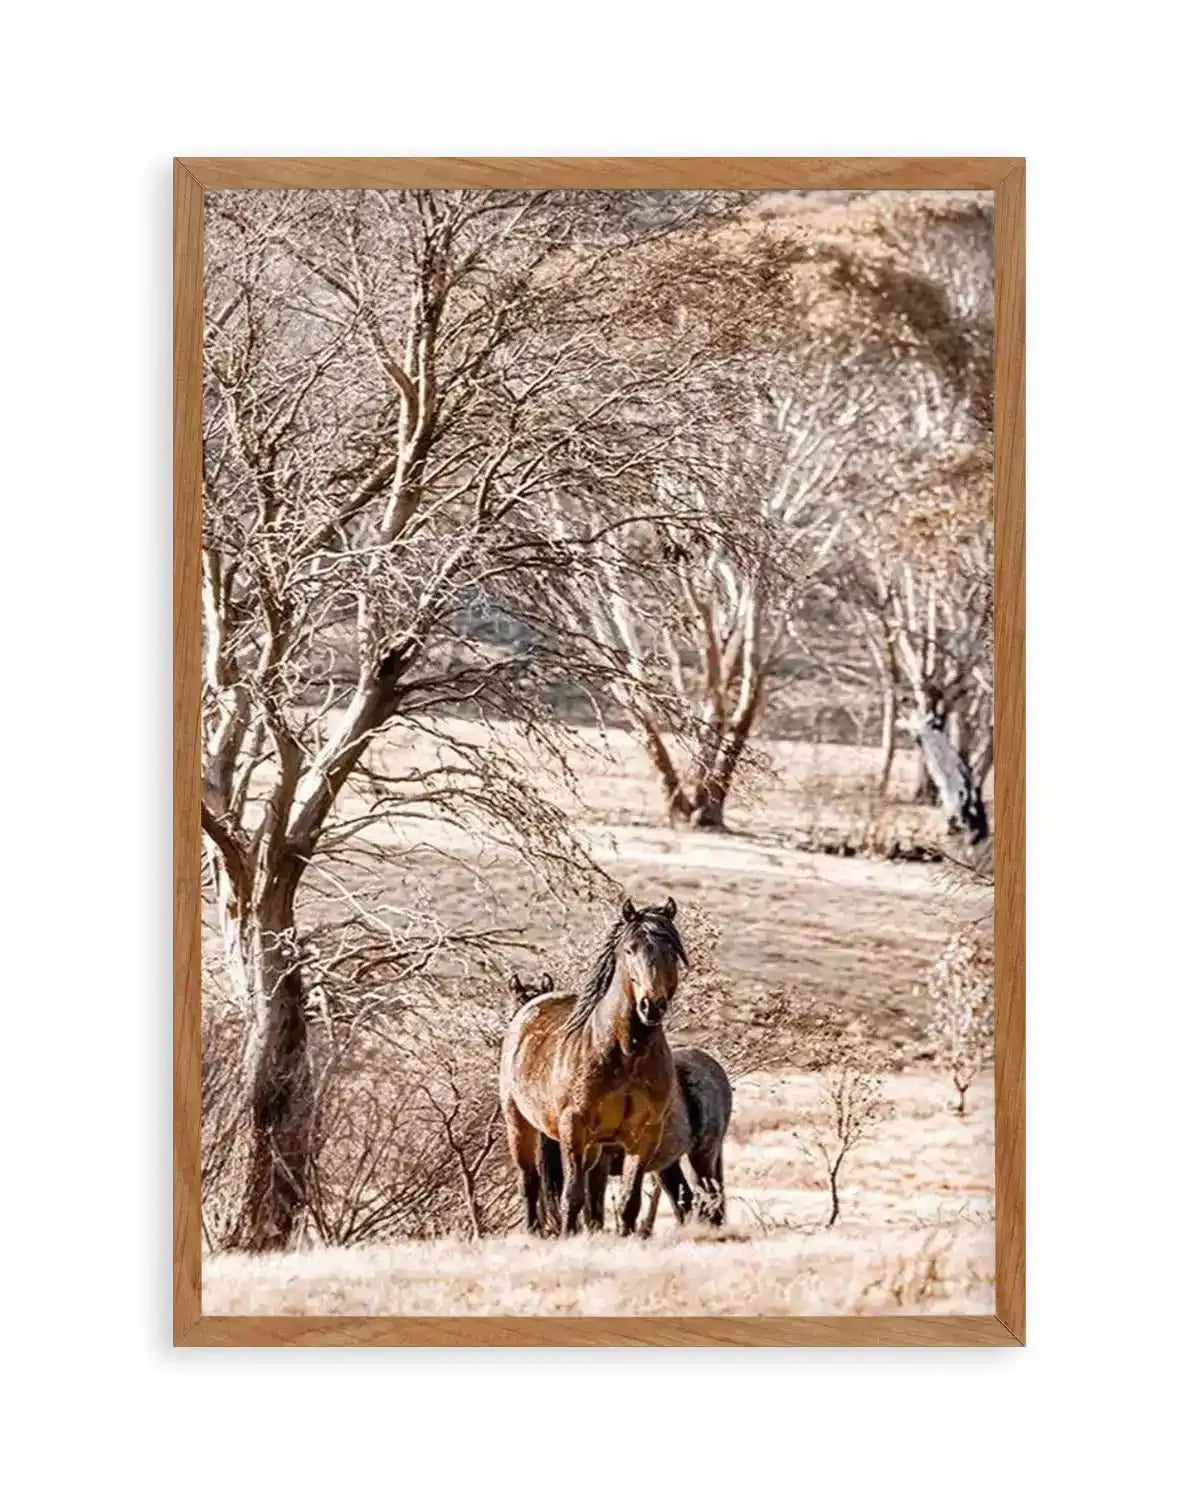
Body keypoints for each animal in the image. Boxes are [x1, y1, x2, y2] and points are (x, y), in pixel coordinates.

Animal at [499, 897, 686, 1236]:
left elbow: (627, 1201)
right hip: (519, 1124)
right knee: (530, 1182)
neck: (625, 1052)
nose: (651, 1006)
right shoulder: (573, 1127)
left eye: (672, 951)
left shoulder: (644, 1134)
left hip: (596, 1147)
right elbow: (571, 1195)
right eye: (630, 949)